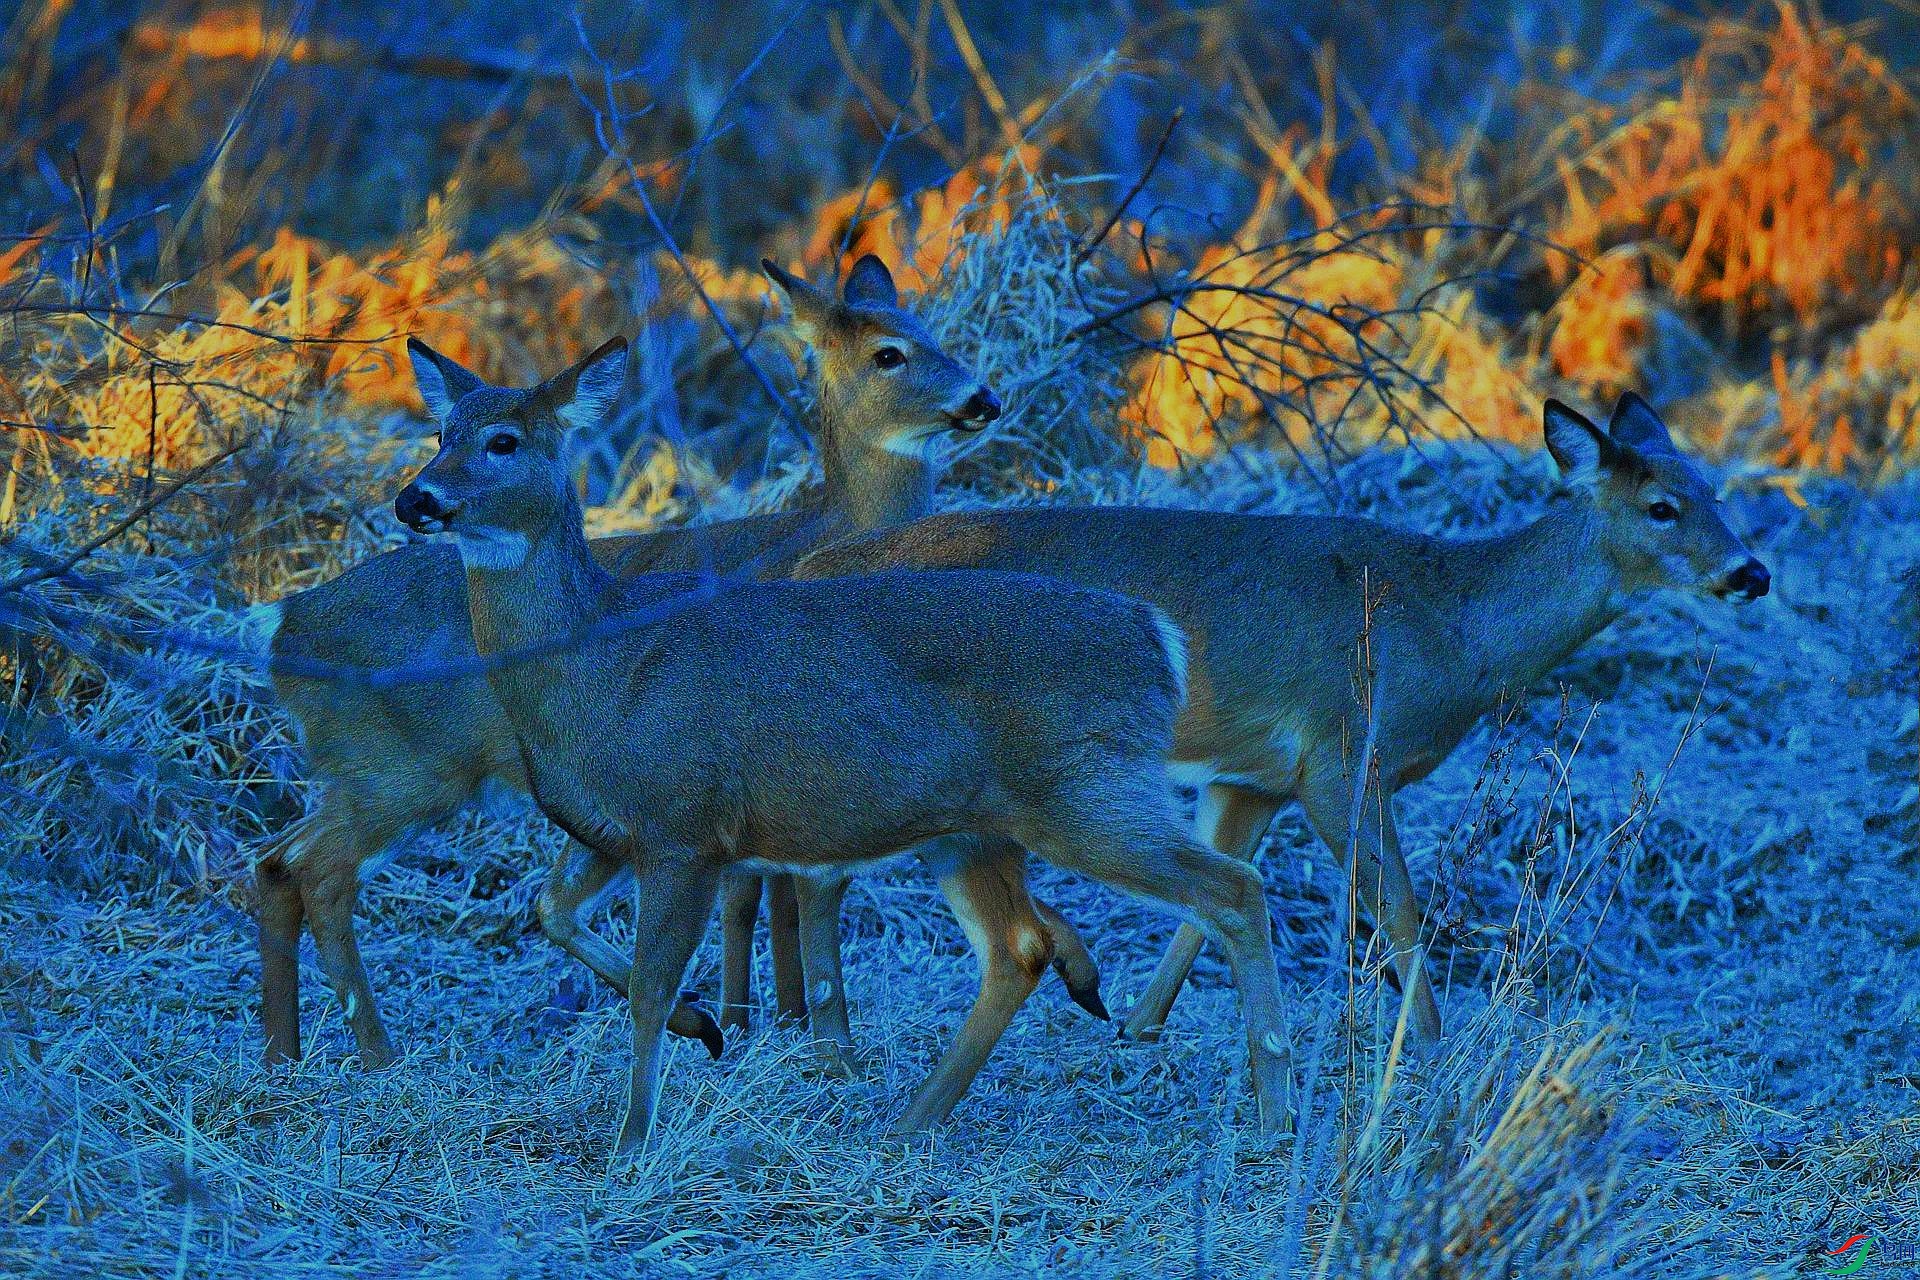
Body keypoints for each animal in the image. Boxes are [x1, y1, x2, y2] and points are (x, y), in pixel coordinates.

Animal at [251, 253, 1098, 1074]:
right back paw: (375, 1053)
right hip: (401, 769)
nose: (983, 397)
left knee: (277, 861)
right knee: (319, 870)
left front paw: (769, 1020)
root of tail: (286, 623)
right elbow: (764, 890)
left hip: (367, 772)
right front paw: (773, 1024)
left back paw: (283, 1055)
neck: (829, 530)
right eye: (888, 354)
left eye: (929, 332)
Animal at [387, 333, 1290, 1151]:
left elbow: (645, 986)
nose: (414, 500)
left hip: (1087, 789)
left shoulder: (683, 822)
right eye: (440, 434)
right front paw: (704, 1027)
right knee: (1017, 948)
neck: (594, 667)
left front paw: (632, 1140)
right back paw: (911, 1121)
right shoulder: (611, 829)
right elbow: (551, 911)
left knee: (1232, 888)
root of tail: (1157, 641)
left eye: (504, 442)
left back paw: (1271, 1115)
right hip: (976, 828)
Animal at [791, 395, 1766, 1043]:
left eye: (1718, 492)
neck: (1448, 626)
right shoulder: (1342, 753)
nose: (1752, 572)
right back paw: (830, 1034)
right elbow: (1399, 908)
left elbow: (1215, 892)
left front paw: (1137, 1025)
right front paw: (1429, 1045)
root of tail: (814, 565)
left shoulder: (1254, 775)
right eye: (1661, 506)